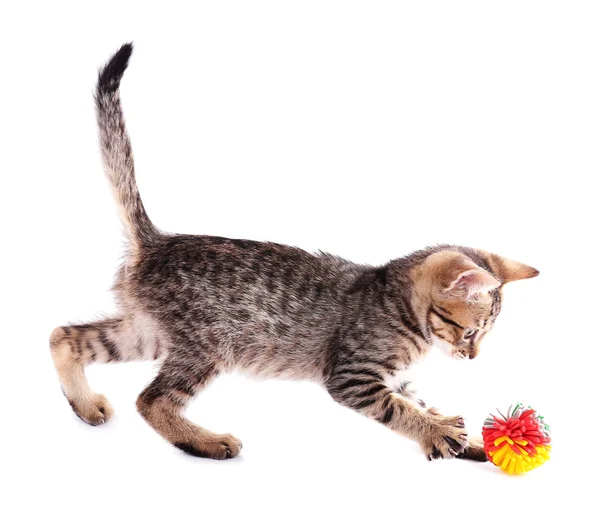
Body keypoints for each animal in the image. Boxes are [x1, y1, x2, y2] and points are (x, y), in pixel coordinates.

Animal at [50, 44, 540, 462]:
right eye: (471, 332)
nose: (472, 358)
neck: (397, 303)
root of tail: (158, 241)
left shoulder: (397, 377)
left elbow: (423, 402)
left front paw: (467, 439)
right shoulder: (354, 376)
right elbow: (400, 410)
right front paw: (436, 433)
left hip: (145, 332)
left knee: (65, 336)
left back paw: (85, 406)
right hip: (207, 344)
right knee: (150, 400)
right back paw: (207, 442)